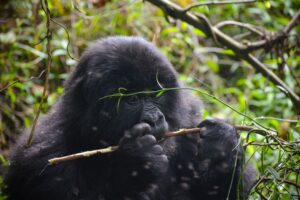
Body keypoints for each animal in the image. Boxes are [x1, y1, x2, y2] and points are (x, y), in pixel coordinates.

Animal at [5, 36, 253, 200]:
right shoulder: (43, 157)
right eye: (132, 100)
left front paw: (223, 147)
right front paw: (137, 161)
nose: (154, 119)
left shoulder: (189, 118)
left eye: (156, 94)